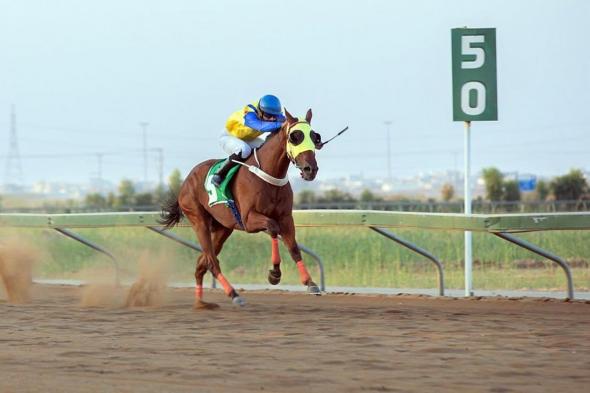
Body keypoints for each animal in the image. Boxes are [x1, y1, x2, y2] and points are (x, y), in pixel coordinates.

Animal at [162, 108, 324, 308]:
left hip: (223, 228)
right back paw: (234, 294)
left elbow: (294, 248)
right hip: (199, 221)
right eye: (295, 137)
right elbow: (272, 227)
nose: (310, 169)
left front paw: (310, 283)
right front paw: (274, 273)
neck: (269, 176)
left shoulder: (286, 218)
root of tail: (185, 182)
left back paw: (201, 303)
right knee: (212, 262)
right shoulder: (249, 220)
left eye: (314, 137)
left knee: (202, 262)